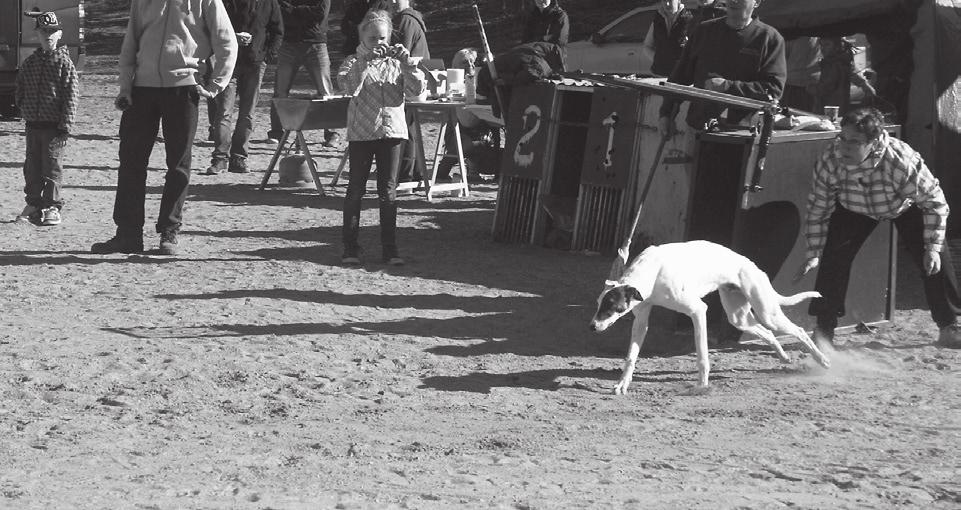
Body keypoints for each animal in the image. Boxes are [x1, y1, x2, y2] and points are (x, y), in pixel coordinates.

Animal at [588, 241, 828, 392]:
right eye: (599, 303)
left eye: (611, 306)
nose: (592, 327)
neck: (652, 272)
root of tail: (751, 265)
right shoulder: (641, 320)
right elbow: (631, 357)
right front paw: (622, 384)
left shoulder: (698, 311)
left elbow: (702, 354)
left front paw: (702, 384)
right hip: (738, 317)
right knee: (767, 333)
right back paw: (784, 357)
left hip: (767, 312)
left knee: (798, 330)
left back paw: (822, 359)